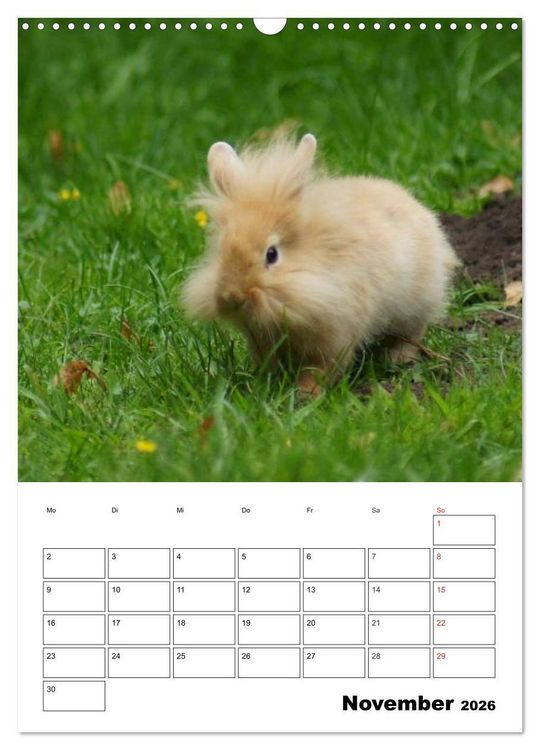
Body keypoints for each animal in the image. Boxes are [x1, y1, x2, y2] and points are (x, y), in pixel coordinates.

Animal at [181, 133, 460, 396]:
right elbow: (269, 363)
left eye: (272, 254)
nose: (232, 298)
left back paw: (397, 359)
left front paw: (305, 394)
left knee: (412, 333)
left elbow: (321, 368)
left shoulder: (336, 337)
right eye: (222, 250)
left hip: (415, 306)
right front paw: (267, 386)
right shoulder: (262, 340)